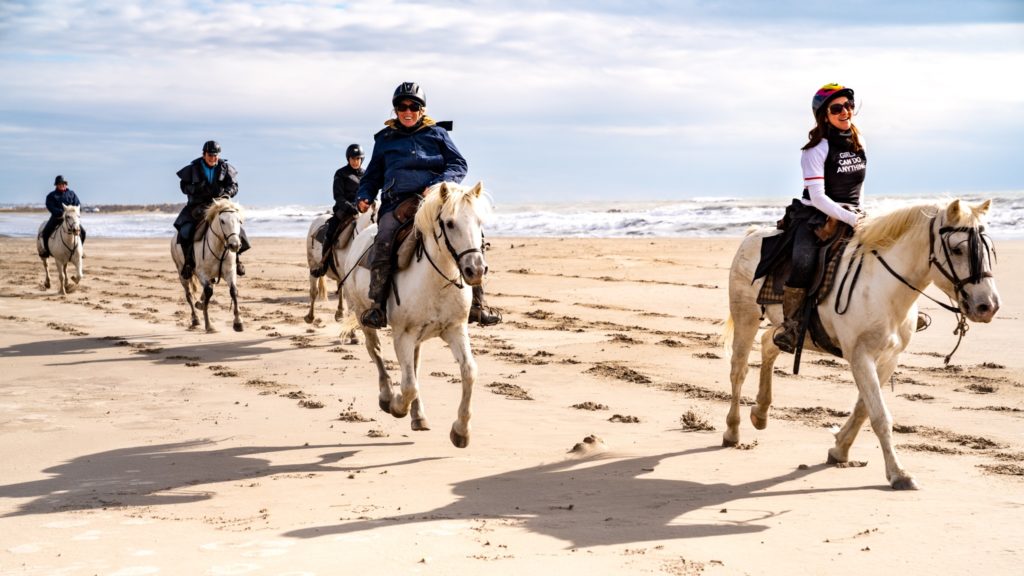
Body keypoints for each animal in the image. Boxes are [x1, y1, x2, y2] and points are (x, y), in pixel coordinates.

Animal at [170, 198, 245, 333]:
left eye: (239, 220)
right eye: (222, 221)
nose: (235, 245)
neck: (219, 247)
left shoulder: (230, 271)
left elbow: (233, 291)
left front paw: (238, 323)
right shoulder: (202, 273)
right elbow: (209, 291)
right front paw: (209, 325)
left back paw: (200, 304)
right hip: (182, 273)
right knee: (189, 295)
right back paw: (195, 319)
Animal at [303, 203, 377, 343]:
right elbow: (352, 306)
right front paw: (353, 334)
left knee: (339, 288)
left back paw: (339, 313)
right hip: (313, 265)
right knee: (314, 291)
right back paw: (310, 317)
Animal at [343, 181, 491, 448]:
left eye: (479, 221)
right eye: (450, 223)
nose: (475, 270)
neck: (437, 280)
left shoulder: (455, 330)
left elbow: (469, 372)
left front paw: (461, 431)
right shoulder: (403, 335)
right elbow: (409, 385)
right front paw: (397, 406)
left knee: (414, 365)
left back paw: (418, 415)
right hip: (364, 317)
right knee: (376, 352)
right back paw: (387, 396)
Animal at [722, 199, 1000, 490]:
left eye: (989, 250)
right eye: (957, 249)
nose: (988, 306)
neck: (883, 287)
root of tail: (752, 234)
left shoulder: (889, 358)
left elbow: (864, 408)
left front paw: (839, 449)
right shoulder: (860, 357)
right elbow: (879, 415)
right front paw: (899, 474)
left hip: (788, 330)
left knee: (769, 343)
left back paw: (760, 413)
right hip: (746, 316)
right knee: (739, 370)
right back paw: (732, 430)